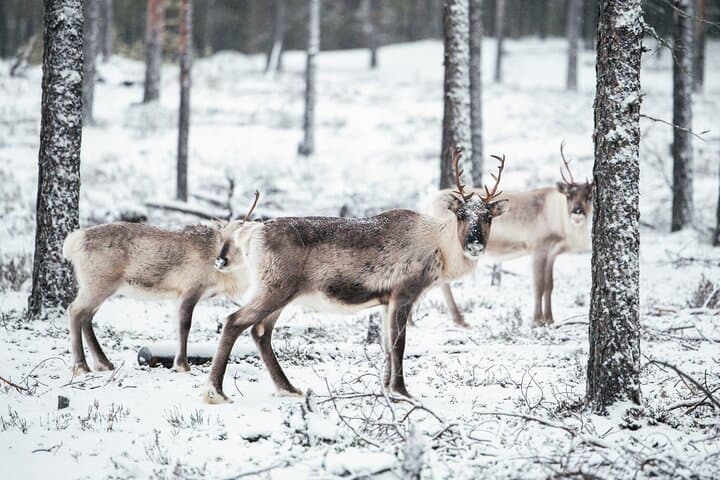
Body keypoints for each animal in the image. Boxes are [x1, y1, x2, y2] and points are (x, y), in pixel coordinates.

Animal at [62, 193, 260, 376]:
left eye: (239, 241)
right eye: (223, 238)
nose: (220, 261)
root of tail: (74, 241)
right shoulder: (190, 290)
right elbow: (184, 325)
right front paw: (182, 365)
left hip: (99, 287)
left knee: (86, 317)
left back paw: (104, 363)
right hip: (97, 285)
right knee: (74, 311)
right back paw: (81, 366)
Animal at [202, 150, 509, 404]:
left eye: (487, 217)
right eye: (461, 214)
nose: (474, 244)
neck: (440, 246)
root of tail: (252, 233)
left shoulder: (386, 301)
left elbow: (386, 346)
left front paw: (386, 389)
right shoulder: (404, 292)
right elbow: (399, 345)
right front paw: (402, 392)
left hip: (279, 291)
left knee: (260, 331)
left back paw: (288, 388)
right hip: (275, 287)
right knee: (234, 321)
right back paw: (216, 392)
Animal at [424, 142, 592, 327]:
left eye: (589, 196)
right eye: (569, 195)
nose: (577, 212)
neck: (560, 223)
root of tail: (428, 202)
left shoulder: (552, 253)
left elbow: (550, 285)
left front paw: (550, 319)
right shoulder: (539, 248)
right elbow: (539, 285)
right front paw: (537, 320)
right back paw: (459, 319)